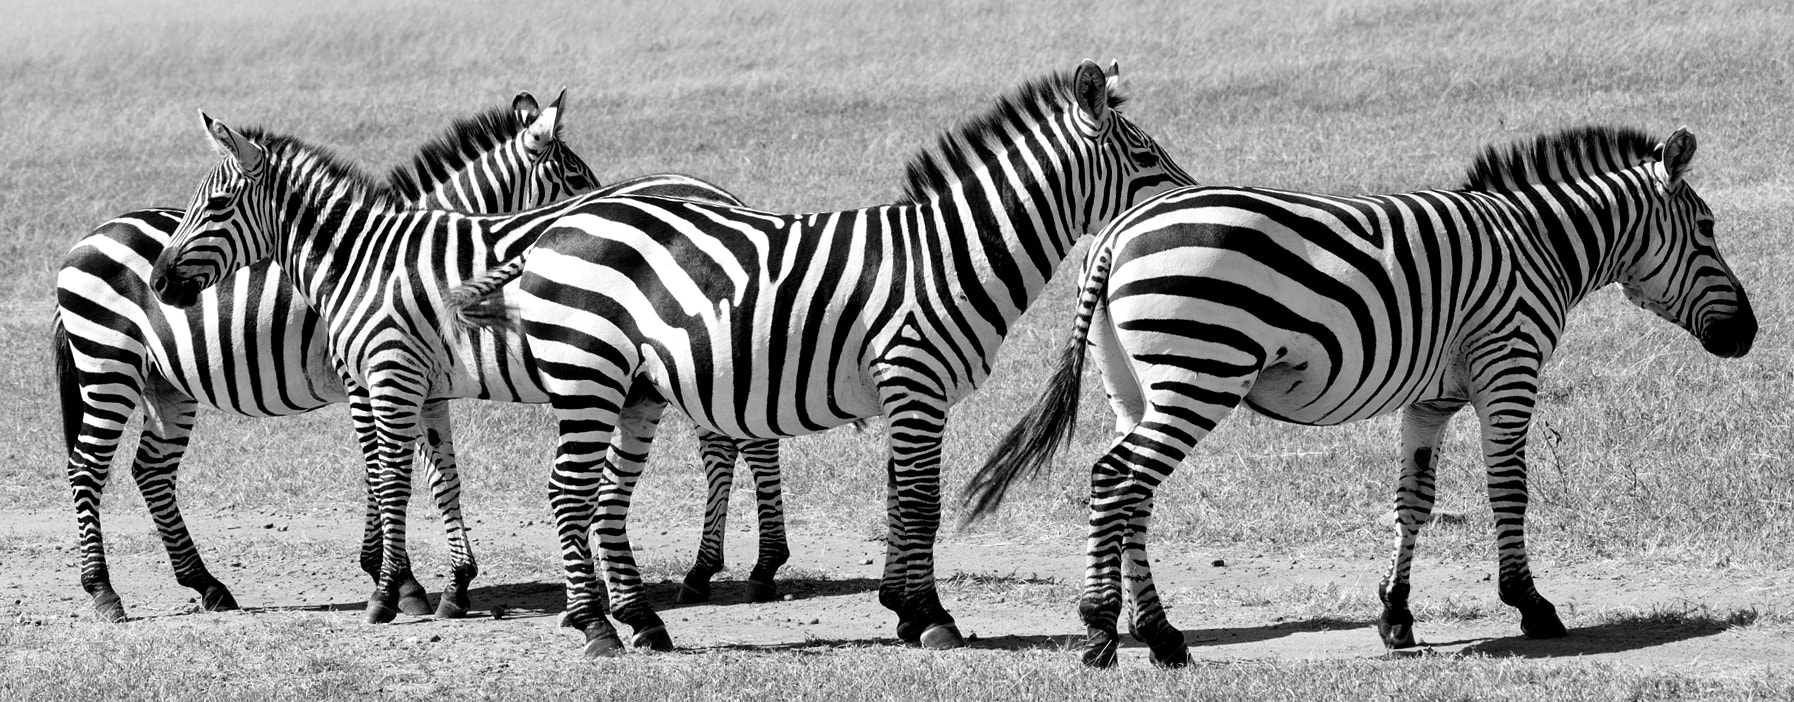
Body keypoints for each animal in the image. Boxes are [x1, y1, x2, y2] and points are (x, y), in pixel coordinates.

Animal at [53, 91, 780, 622]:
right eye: (573, 174)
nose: (605, 212)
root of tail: (87, 237)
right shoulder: (372, 378)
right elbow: (392, 471)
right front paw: (403, 580)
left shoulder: (405, 379)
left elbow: (416, 472)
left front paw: (413, 580)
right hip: (112, 369)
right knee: (93, 469)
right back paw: (110, 592)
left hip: (161, 385)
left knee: (148, 470)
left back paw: (203, 584)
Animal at [441, 59, 1198, 656]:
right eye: (1145, 157)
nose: (1189, 206)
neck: (951, 257)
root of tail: (550, 232)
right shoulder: (915, 380)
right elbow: (921, 504)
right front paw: (931, 618)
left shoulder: (908, 393)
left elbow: (898, 499)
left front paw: (902, 608)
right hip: (587, 373)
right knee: (568, 493)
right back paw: (597, 627)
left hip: (632, 388)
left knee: (603, 498)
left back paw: (642, 623)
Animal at [961, 125, 1756, 667]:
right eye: (1709, 228)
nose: (1747, 334)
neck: (1541, 246)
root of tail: (1116, 234)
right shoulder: (1509, 367)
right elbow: (1510, 489)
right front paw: (1531, 604)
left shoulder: (1430, 400)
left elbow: (1414, 502)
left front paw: (1395, 616)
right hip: (1202, 371)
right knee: (1116, 478)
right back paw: (1102, 630)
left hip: (1136, 386)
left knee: (1131, 491)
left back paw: (1161, 637)